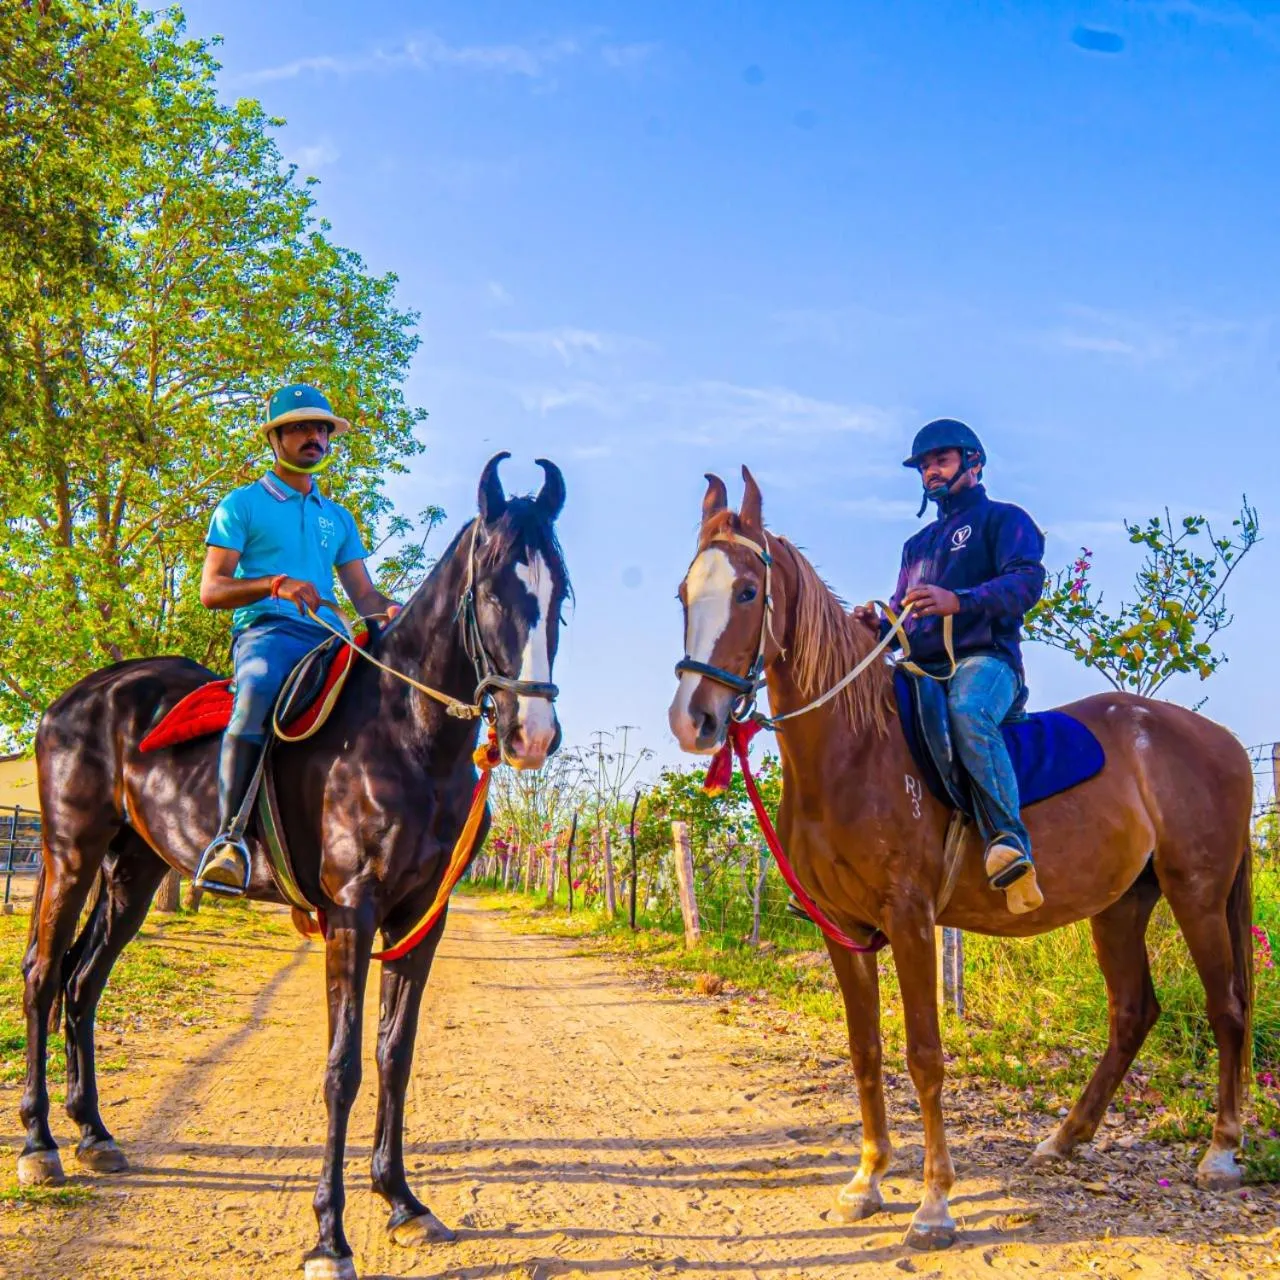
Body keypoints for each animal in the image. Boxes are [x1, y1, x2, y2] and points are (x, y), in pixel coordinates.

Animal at [19, 453, 570, 1280]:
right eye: (495, 588)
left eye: (559, 594)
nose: (532, 732)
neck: (405, 734)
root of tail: (78, 698)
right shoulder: (352, 912)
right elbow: (342, 1068)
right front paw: (330, 1238)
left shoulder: (421, 919)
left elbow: (394, 1056)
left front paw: (403, 1203)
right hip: (70, 853)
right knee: (42, 976)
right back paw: (39, 1145)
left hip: (135, 872)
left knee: (83, 986)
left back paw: (95, 1136)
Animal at [668, 467, 1253, 1250]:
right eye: (683, 593)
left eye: (747, 593)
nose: (694, 720)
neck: (855, 749)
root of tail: (1220, 740)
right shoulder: (842, 930)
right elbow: (865, 1052)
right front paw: (866, 1181)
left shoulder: (911, 920)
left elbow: (923, 1055)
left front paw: (934, 1204)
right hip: (1121, 905)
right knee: (1133, 1012)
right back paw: (1064, 1139)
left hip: (1198, 894)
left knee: (1226, 1007)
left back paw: (1219, 1151)